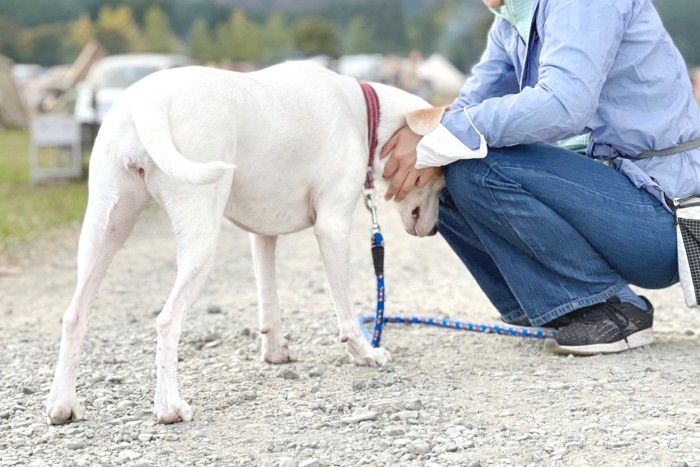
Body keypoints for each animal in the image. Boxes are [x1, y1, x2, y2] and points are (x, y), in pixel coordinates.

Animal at [46, 63, 446, 428]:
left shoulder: (262, 236)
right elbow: (346, 311)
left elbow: (269, 304)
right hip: (199, 241)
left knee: (74, 315)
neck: (363, 114)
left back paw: (63, 406)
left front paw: (275, 353)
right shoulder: (332, 229)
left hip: (105, 231)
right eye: (438, 180)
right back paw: (169, 408)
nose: (432, 231)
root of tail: (148, 99)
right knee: (167, 321)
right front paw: (365, 352)